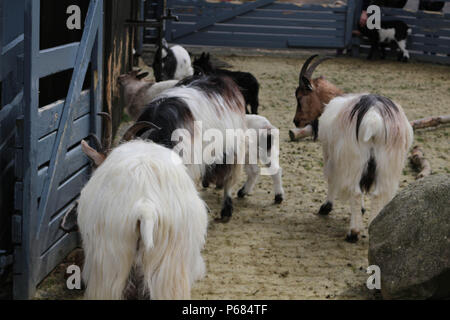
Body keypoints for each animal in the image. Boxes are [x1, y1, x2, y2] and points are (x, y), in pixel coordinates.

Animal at [318, 94, 414, 241]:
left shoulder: (331, 159)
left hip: (353, 159)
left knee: (355, 193)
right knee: (379, 194)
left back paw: (353, 233)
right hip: (387, 163)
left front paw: (326, 207)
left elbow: (331, 181)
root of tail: (373, 116)